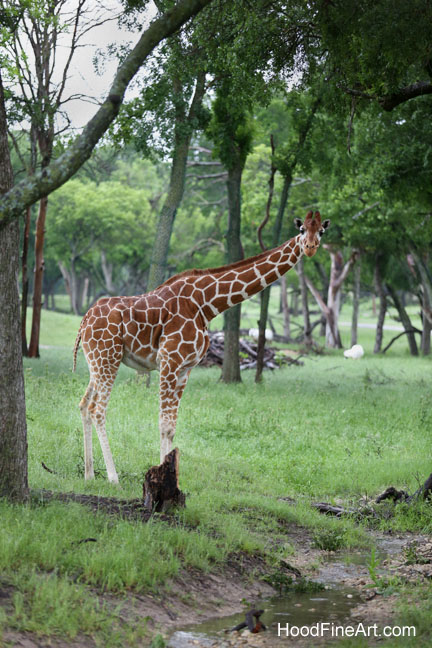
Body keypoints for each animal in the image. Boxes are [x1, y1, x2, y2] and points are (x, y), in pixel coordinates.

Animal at [73, 210, 330, 482]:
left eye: (321, 231)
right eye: (301, 229)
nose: (310, 247)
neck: (207, 304)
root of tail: (84, 321)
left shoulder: (185, 369)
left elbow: (171, 427)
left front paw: (169, 476)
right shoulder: (170, 361)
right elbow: (164, 423)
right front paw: (161, 477)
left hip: (97, 361)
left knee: (84, 405)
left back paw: (89, 475)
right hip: (107, 359)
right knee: (97, 409)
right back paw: (113, 478)